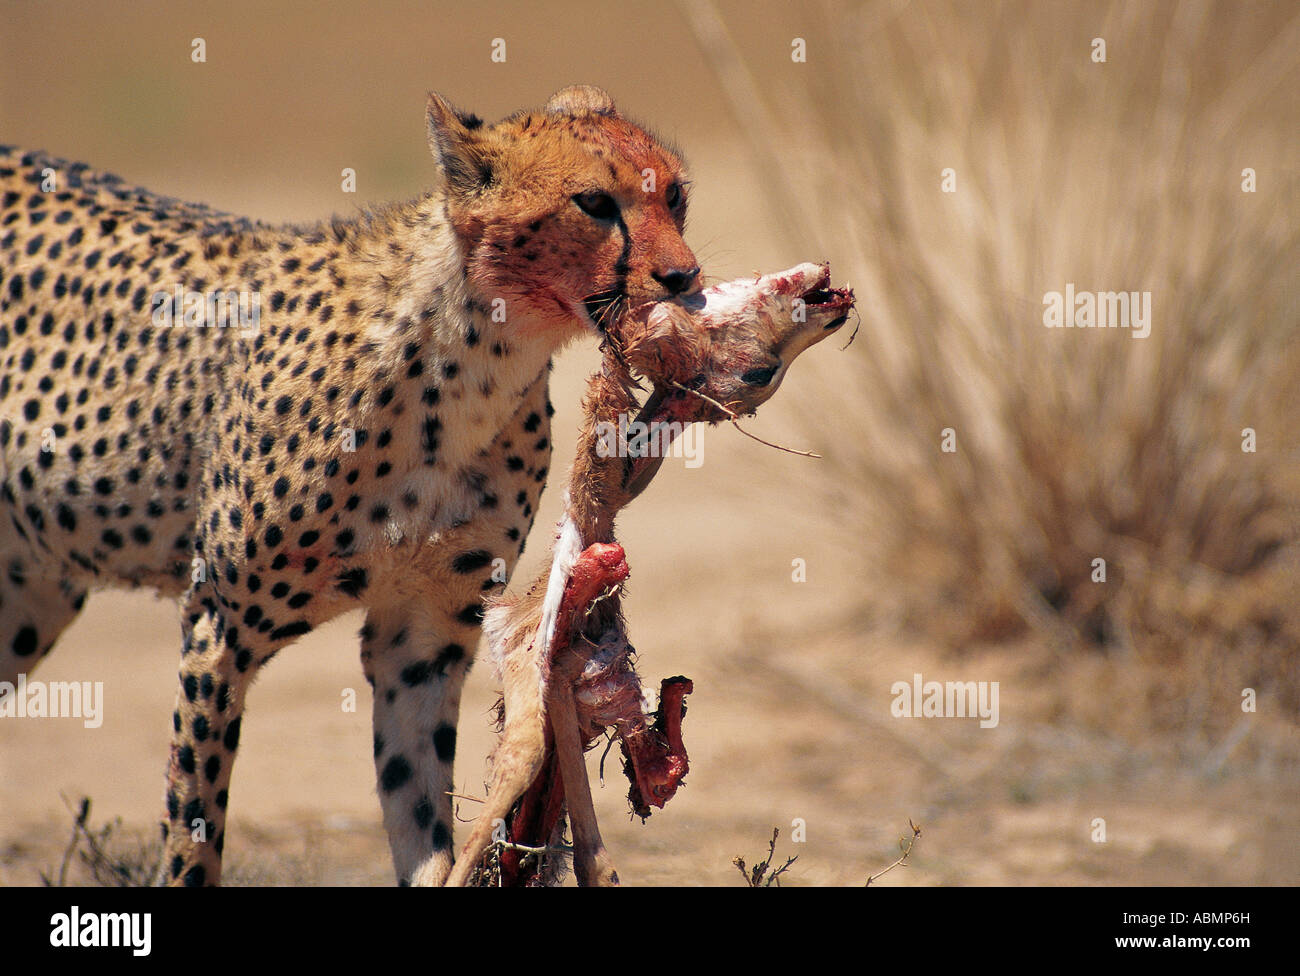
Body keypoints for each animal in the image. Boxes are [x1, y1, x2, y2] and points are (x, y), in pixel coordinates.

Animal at [0, 87, 707, 888]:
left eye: (675, 195)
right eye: (594, 202)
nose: (684, 277)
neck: (477, 365)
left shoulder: (423, 637)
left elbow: (420, 810)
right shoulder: (218, 625)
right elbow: (192, 830)